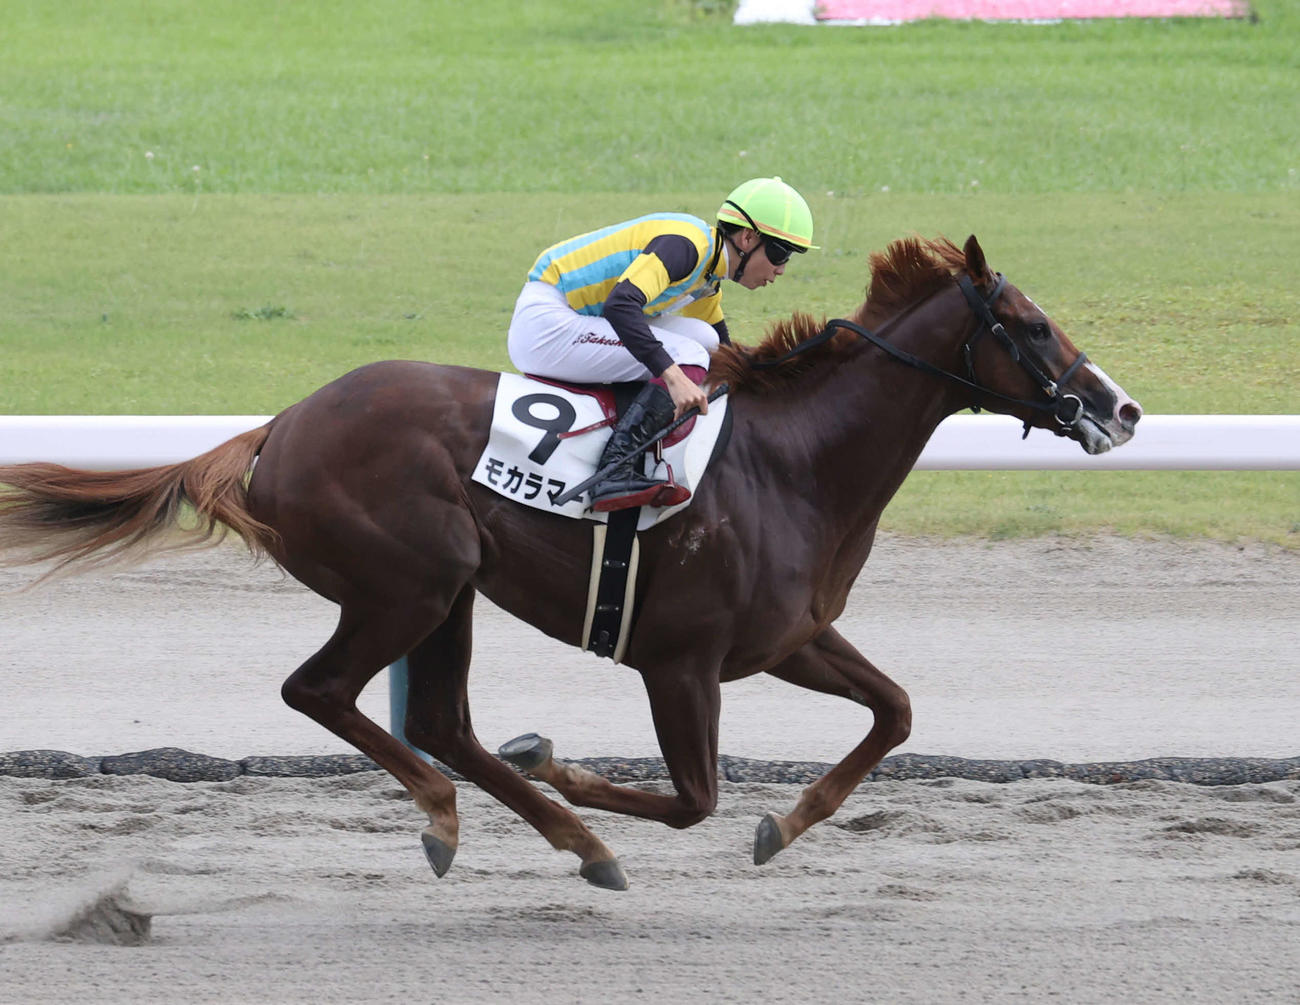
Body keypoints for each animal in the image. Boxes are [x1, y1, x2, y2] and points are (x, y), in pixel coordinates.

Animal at [0, 235, 1141, 890]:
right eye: (1032, 324)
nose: (1123, 409)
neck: (796, 461)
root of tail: (277, 427)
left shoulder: (790, 637)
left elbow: (895, 713)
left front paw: (783, 824)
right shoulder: (678, 660)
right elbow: (693, 798)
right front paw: (573, 771)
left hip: (450, 590)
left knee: (440, 720)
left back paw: (544, 830)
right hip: (408, 580)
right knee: (323, 693)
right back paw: (490, 823)